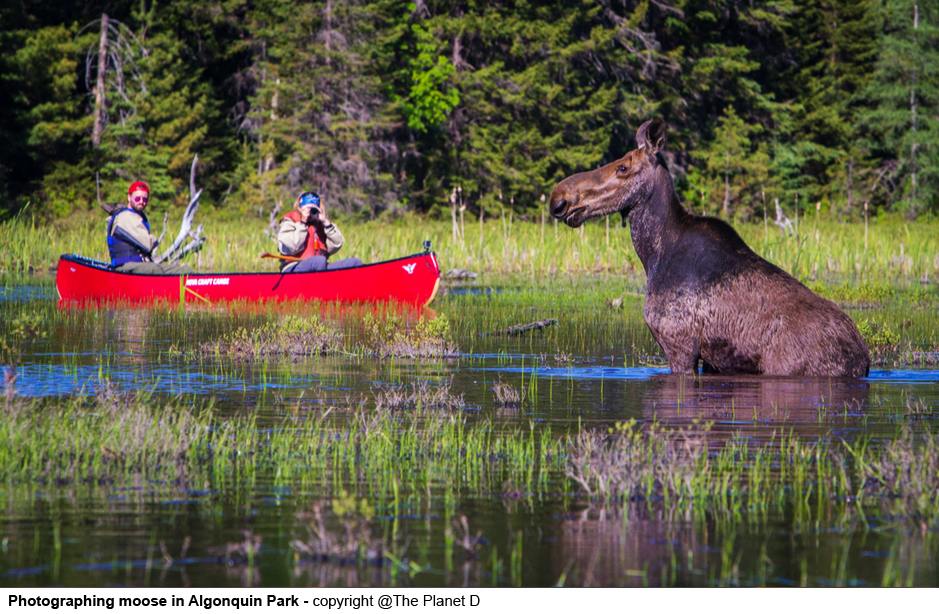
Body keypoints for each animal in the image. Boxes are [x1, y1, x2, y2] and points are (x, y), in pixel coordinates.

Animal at [552, 119, 872, 380]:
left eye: (623, 167)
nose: (560, 198)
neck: (653, 255)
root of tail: (864, 361)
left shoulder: (678, 343)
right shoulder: (713, 359)